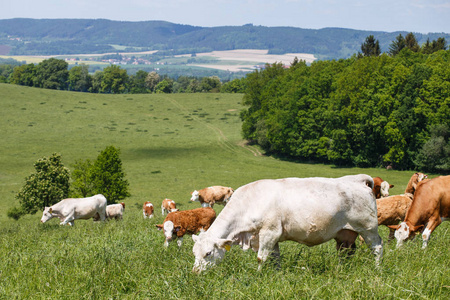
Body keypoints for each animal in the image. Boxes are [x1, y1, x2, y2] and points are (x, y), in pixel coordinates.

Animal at [192, 173, 382, 274]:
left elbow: (261, 257)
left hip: (368, 228)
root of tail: (358, 179)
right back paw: (341, 269)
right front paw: (277, 273)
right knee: (346, 252)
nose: (195, 272)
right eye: (194, 253)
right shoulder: (271, 236)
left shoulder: (269, 232)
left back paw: (377, 268)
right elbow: (275, 257)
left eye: (208, 253)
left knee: (377, 247)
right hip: (345, 233)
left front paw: (257, 274)